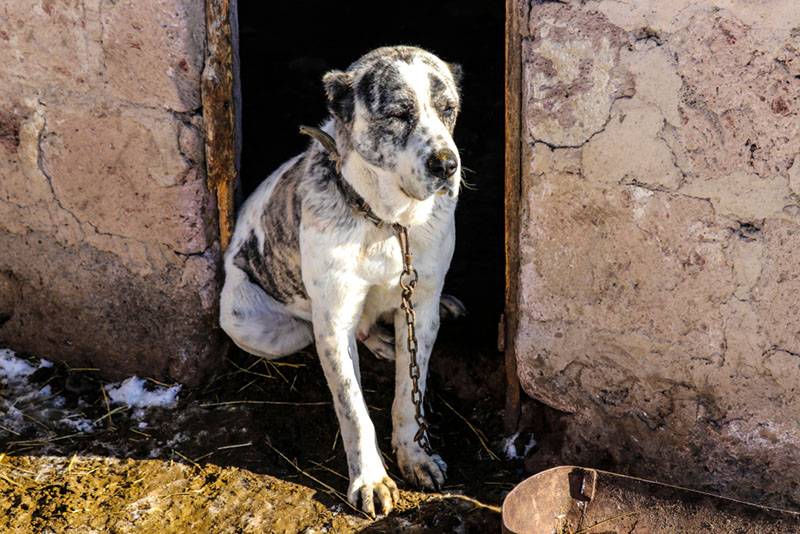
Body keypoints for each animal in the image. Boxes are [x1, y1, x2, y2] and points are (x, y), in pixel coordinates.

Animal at [222, 47, 466, 520]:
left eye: (448, 110)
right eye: (399, 113)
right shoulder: (334, 321)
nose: (447, 165)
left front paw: (415, 455)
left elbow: (410, 394)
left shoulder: (420, 309)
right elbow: (354, 408)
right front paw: (370, 479)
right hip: (250, 324)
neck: (388, 223)